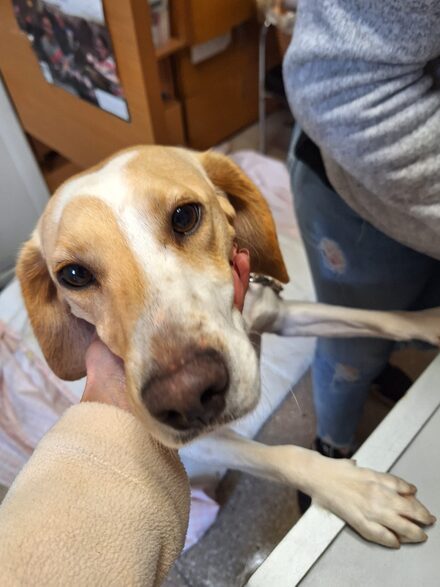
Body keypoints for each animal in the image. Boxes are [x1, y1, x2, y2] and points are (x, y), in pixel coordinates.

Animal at [17, 146, 436, 549]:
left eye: (185, 216)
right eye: (74, 275)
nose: (185, 395)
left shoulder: (280, 314)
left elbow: (373, 316)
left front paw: (429, 322)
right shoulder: (197, 444)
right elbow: (281, 454)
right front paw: (356, 490)